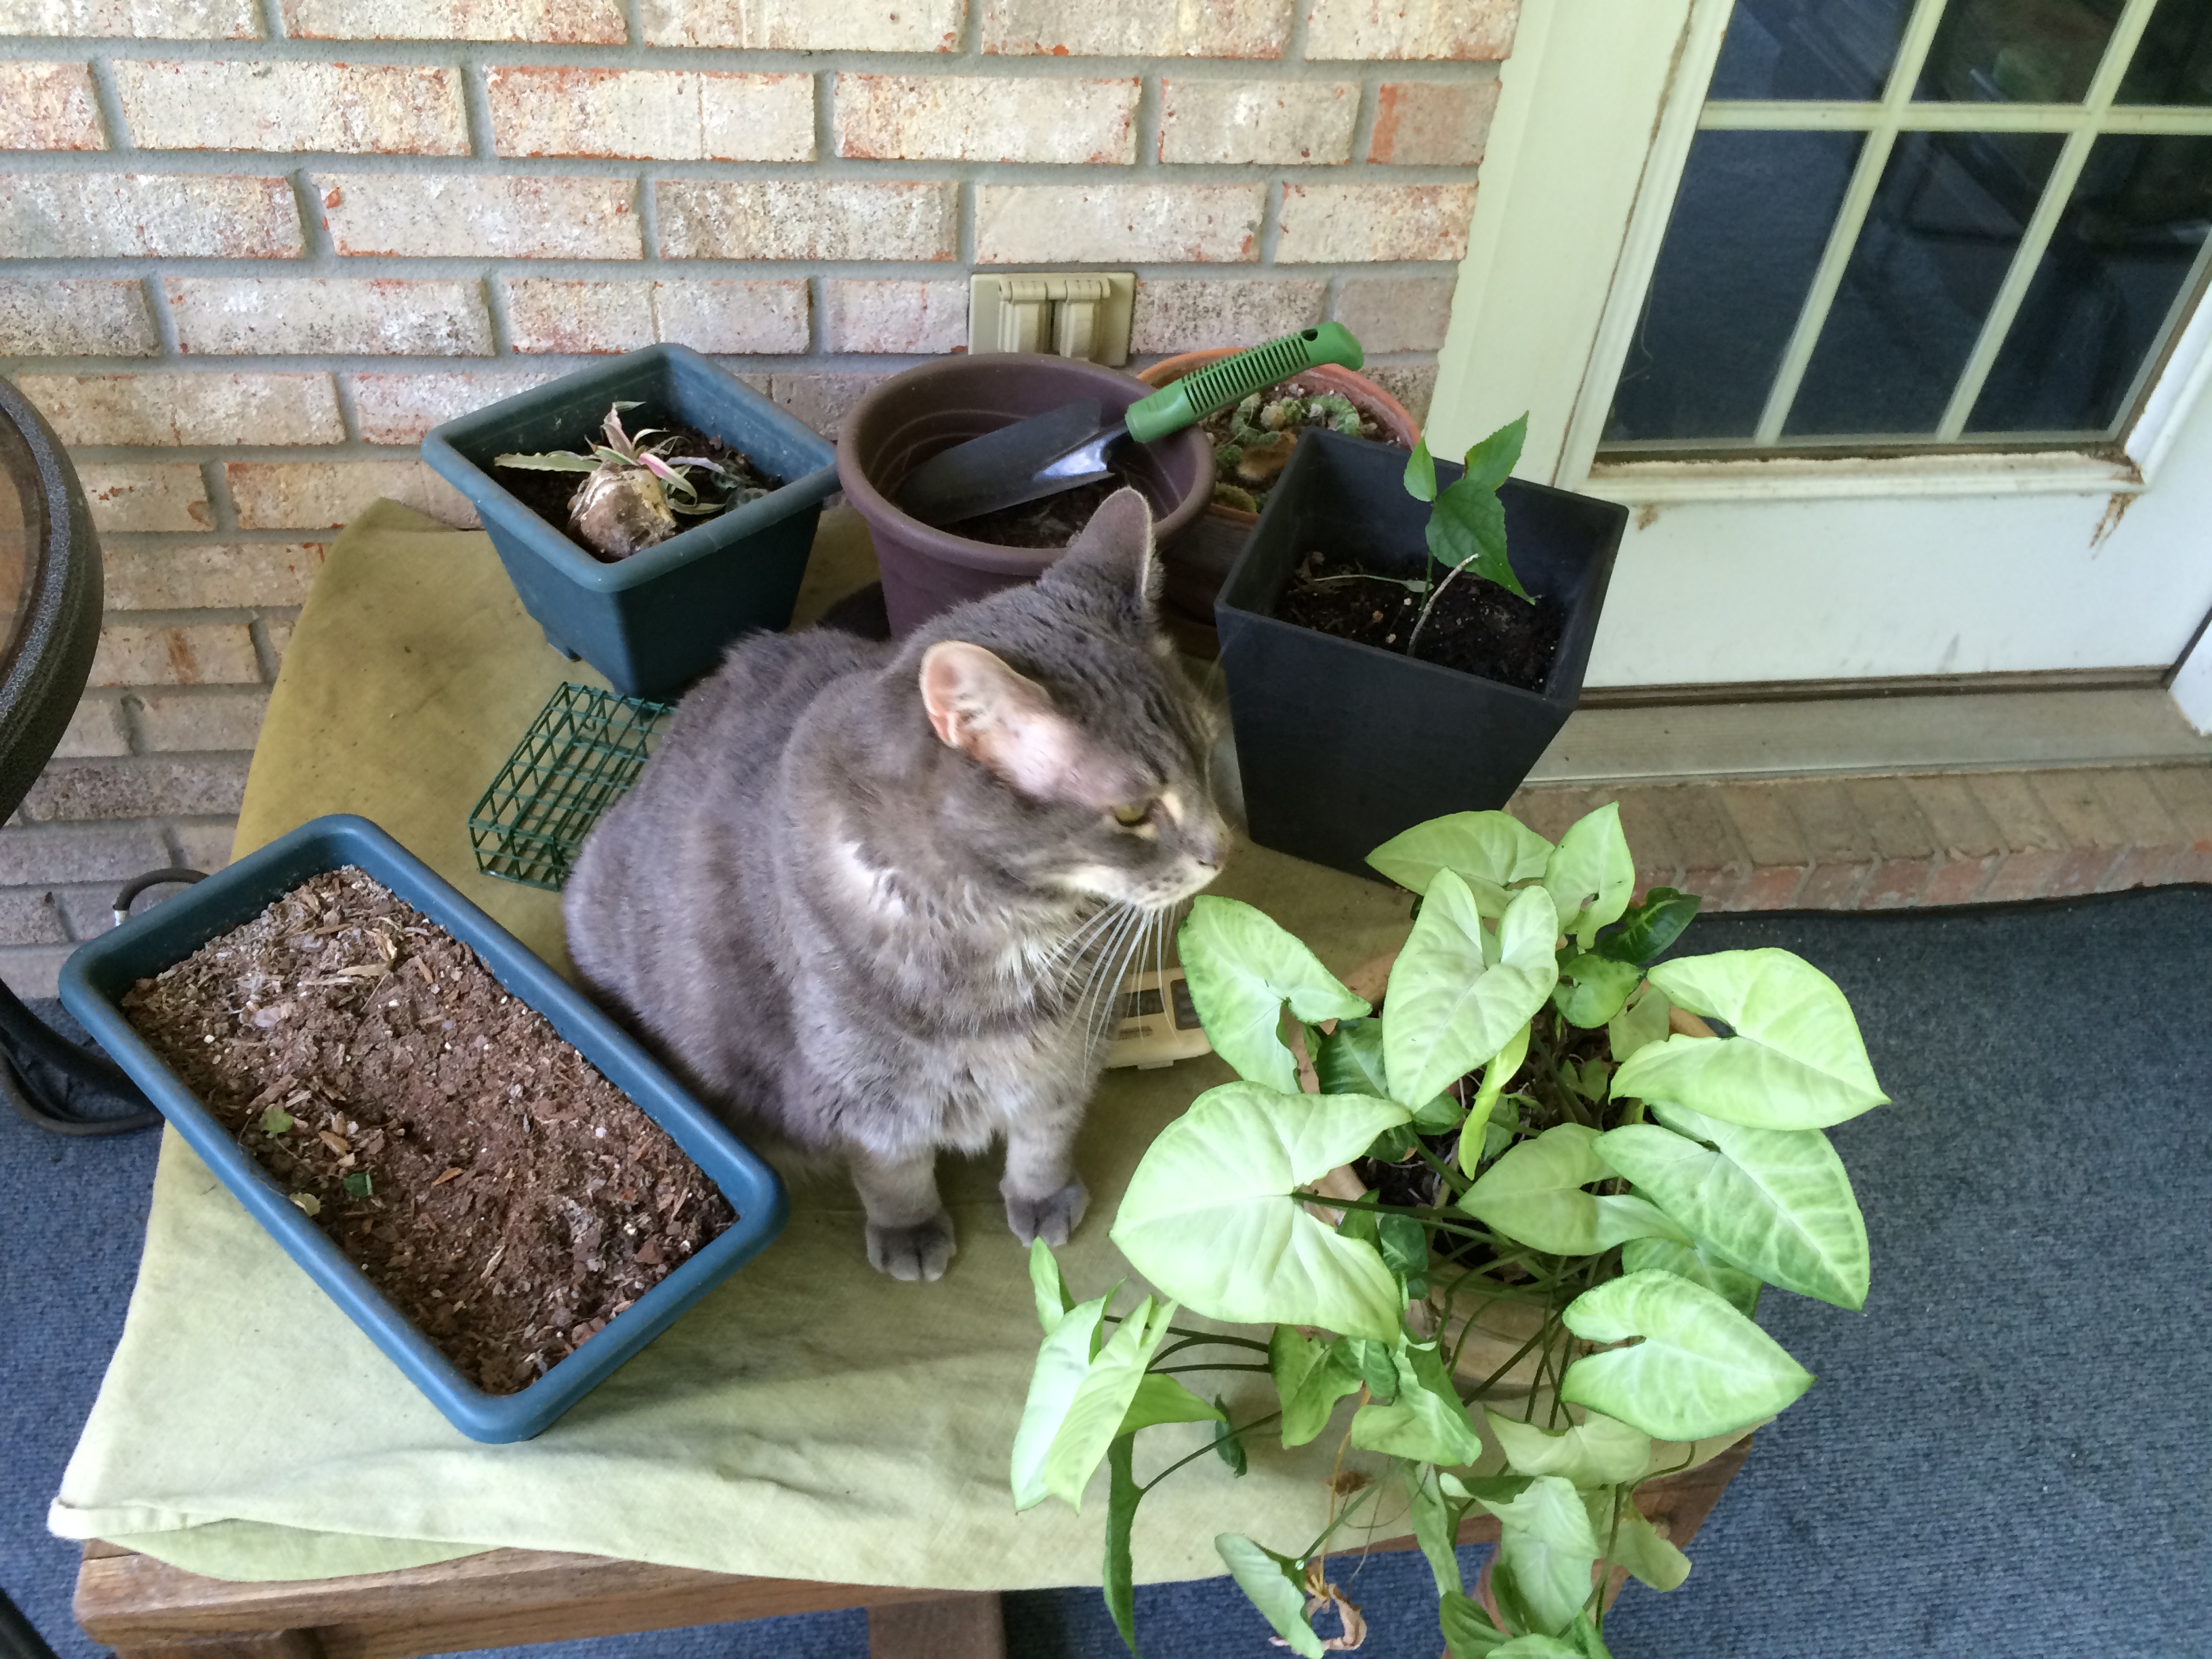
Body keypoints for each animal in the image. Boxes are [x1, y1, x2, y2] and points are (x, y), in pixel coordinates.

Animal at [563, 488, 1231, 1281]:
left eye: (1208, 755)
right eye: (1132, 813)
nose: (1223, 850)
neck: (1009, 937)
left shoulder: (1068, 1052)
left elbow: (1046, 1132)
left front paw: (1043, 1197)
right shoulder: (869, 1094)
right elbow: (894, 1172)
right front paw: (910, 1231)